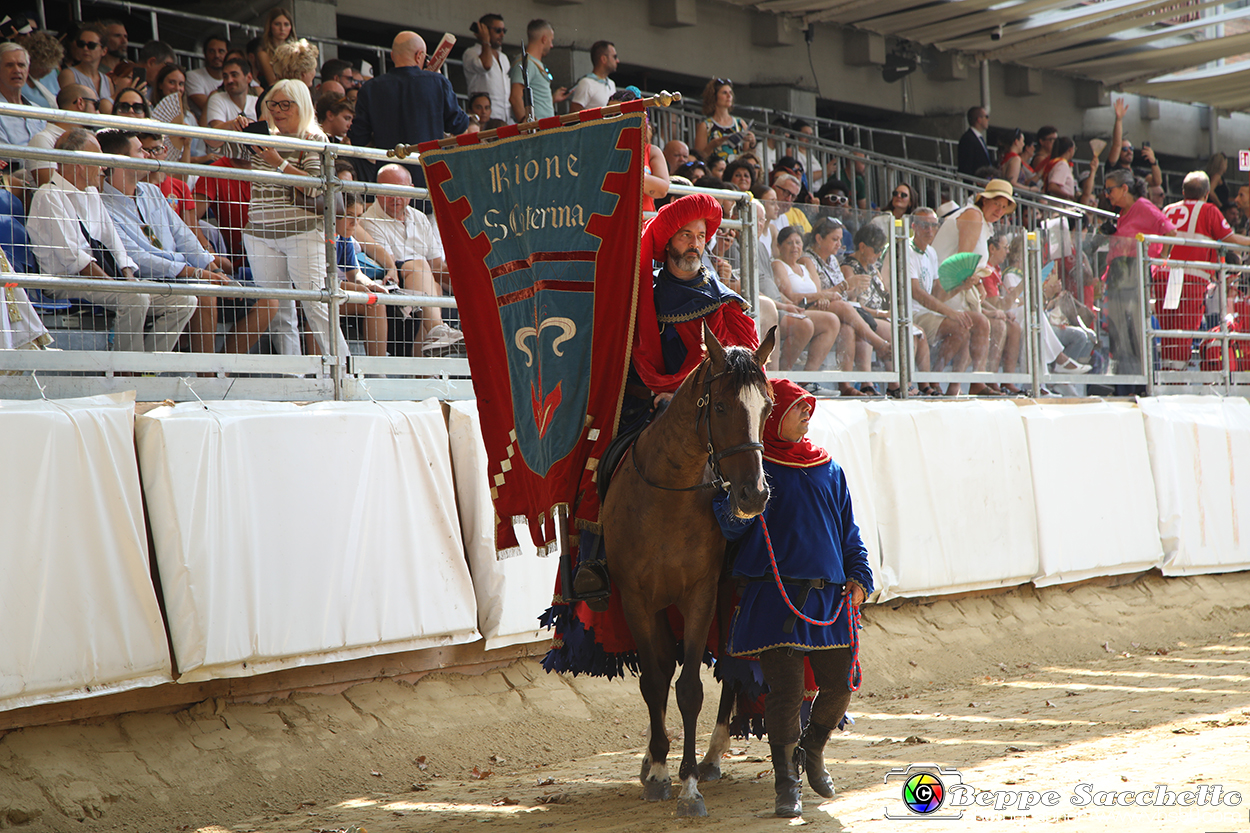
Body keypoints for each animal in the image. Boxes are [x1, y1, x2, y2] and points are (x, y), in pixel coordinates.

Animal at [602, 320, 770, 815]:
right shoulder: (637, 600)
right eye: (720, 405)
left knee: (732, 667)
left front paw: (689, 783)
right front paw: (658, 770)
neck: (666, 497)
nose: (754, 494)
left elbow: (690, 688)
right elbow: (655, 680)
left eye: (767, 407)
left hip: (729, 595)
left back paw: (712, 756)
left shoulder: (701, 594)